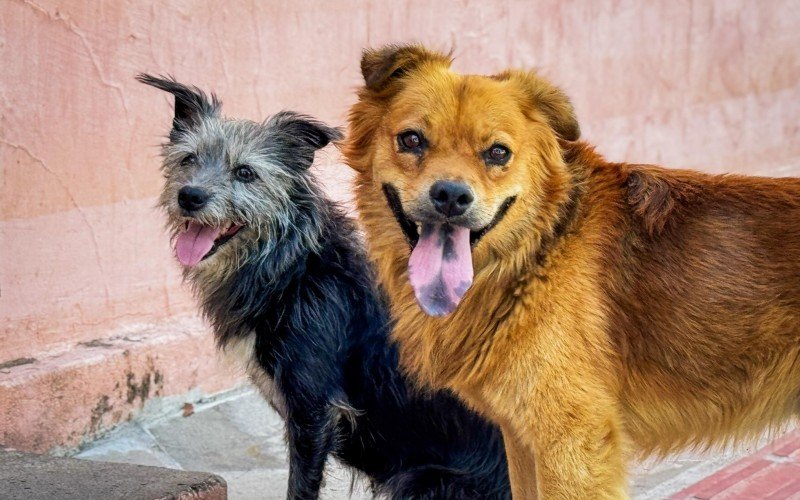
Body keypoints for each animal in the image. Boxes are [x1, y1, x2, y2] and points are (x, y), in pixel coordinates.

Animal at [139, 75, 506, 500]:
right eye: (188, 159)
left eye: (245, 173)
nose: (190, 196)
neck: (294, 268)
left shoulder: (314, 411)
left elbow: (301, 485)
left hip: (423, 481)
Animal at [346, 45, 800, 498]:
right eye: (411, 140)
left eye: (497, 152)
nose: (451, 196)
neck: (538, 250)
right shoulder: (522, 436)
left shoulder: (572, 441)